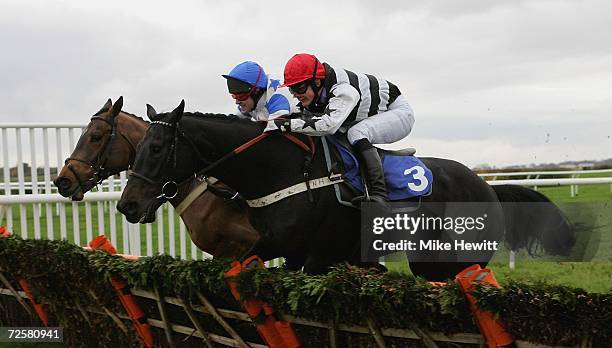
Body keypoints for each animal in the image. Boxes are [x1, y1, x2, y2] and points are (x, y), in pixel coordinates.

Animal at [118, 99, 572, 278]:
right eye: (135, 148)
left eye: (155, 148)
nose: (128, 205)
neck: (282, 173)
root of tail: (488, 187)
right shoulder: (279, 248)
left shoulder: (318, 255)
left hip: (457, 258)